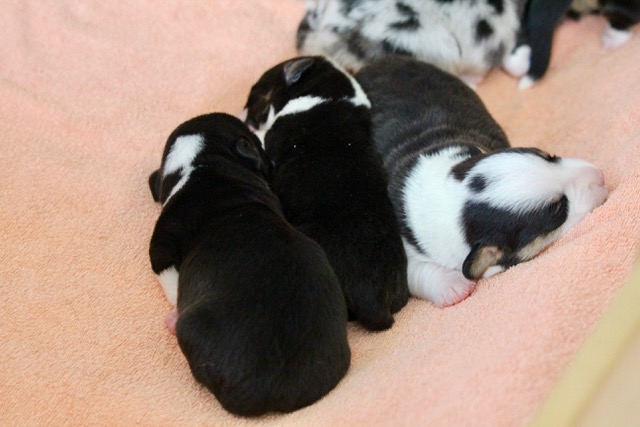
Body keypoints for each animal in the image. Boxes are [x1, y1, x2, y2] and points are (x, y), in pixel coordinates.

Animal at [148, 113, 350, 416]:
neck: (203, 163)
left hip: (191, 331)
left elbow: (169, 277)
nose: (271, 161)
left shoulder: (161, 245)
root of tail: (273, 391)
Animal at [243, 56, 409, 331]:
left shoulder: (272, 141)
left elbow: (264, 137)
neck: (331, 92)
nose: (244, 116)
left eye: (259, 94)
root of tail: (374, 303)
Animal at [356, 57, 608, 307]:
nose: (600, 176)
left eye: (550, 156)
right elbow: (414, 270)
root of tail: (378, 61)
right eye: (557, 209)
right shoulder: (399, 247)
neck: (453, 200)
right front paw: (452, 286)